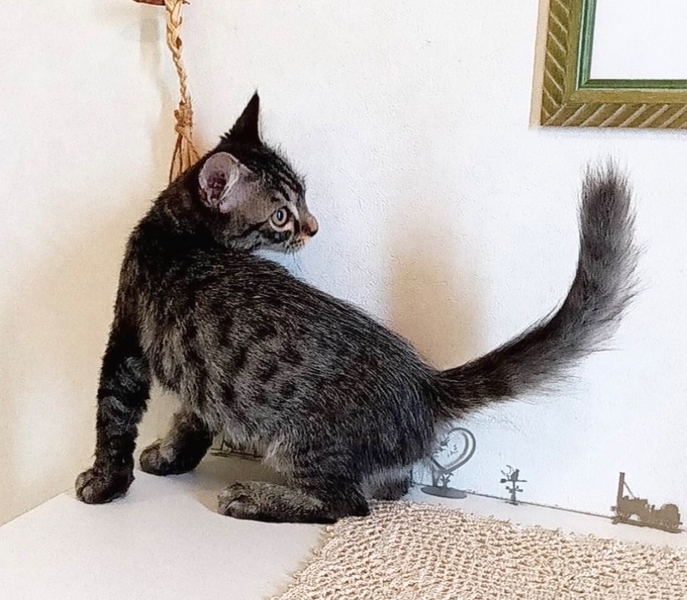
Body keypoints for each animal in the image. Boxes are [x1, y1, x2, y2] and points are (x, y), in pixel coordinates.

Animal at [75, 93, 637, 523]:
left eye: (302, 200)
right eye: (281, 214)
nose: (312, 226)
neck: (178, 231)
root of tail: (425, 384)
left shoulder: (127, 339)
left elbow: (113, 418)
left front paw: (104, 483)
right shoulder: (199, 374)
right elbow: (190, 418)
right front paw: (171, 456)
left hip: (301, 442)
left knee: (346, 505)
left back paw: (255, 497)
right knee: (389, 487)